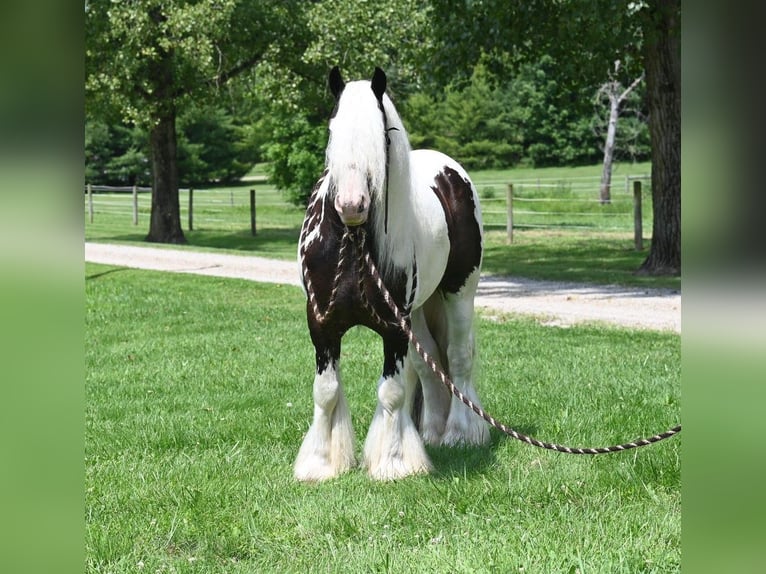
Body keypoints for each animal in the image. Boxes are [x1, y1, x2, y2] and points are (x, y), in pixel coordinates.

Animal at [296, 65, 488, 484]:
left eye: (381, 135)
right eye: (333, 130)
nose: (352, 205)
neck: (353, 246)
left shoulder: (394, 329)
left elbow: (392, 392)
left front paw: (394, 461)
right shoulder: (322, 326)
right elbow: (326, 391)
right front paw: (321, 463)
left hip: (459, 293)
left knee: (458, 359)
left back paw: (459, 433)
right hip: (419, 311)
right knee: (429, 365)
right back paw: (430, 431)